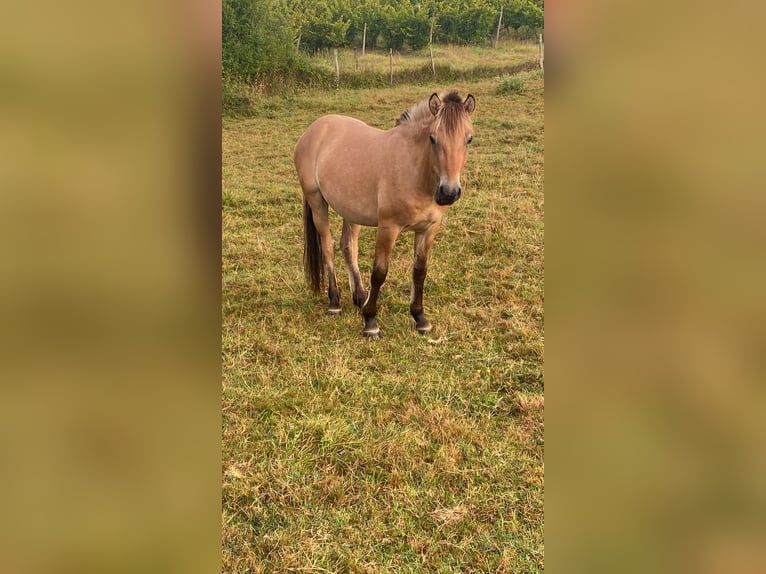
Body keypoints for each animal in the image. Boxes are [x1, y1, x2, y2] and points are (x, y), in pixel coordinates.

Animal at [292, 91, 474, 340]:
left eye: (469, 139)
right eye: (433, 138)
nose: (448, 192)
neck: (415, 169)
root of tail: (314, 129)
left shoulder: (429, 228)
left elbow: (420, 271)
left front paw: (420, 319)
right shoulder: (388, 227)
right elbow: (379, 272)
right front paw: (370, 322)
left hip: (351, 210)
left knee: (348, 246)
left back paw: (360, 297)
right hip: (317, 202)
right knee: (327, 246)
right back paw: (335, 302)